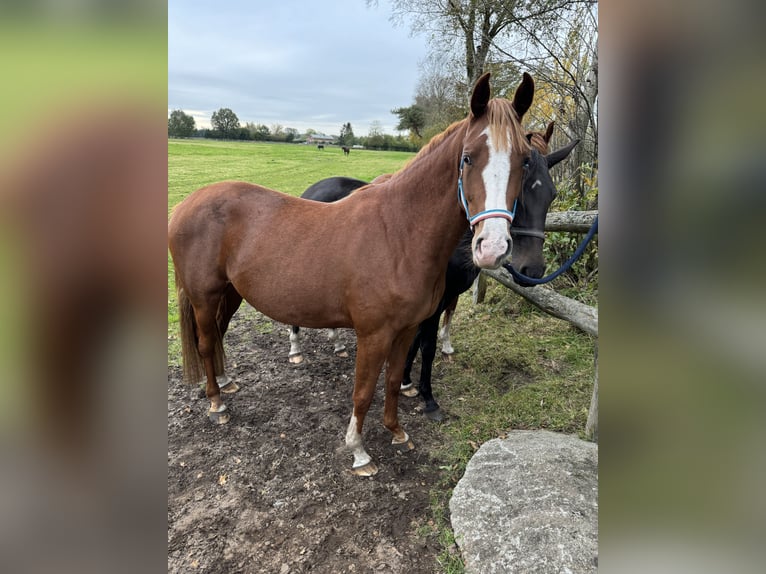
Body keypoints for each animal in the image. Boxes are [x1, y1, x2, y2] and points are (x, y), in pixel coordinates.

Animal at [170, 73, 536, 476]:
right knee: (206, 343)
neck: (399, 233)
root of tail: (187, 204)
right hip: (204, 297)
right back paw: (217, 404)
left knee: (218, 337)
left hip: (230, 293)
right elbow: (363, 391)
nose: (493, 247)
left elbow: (392, 381)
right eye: (468, 158)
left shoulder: (407, 329)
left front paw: (396, 431)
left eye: (524, 161)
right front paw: (359, 451)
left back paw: (224, 382)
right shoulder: (373, 334)